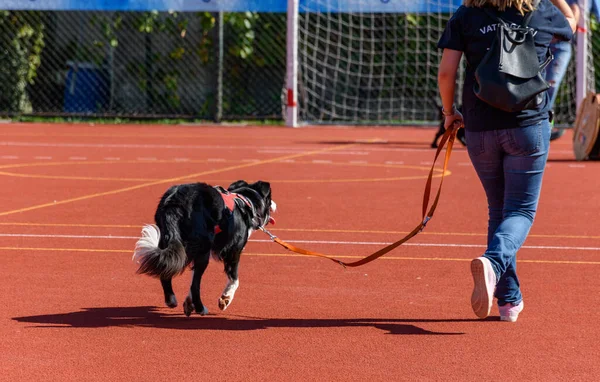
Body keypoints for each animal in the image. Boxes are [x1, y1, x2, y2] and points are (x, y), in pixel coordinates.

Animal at [132, 179, 276, 316]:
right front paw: (226, 298)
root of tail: (175, 201)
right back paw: (201, 309)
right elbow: (234, 279)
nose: (275, 205)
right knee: (196, 285)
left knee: (166, 271)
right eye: (270, 199)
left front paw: (188, 304)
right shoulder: (233, 251)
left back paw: (171, 300)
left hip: (171, 243)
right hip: (203, 249)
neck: (246, 202)